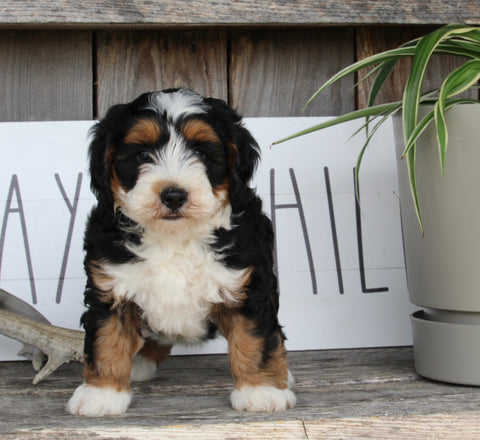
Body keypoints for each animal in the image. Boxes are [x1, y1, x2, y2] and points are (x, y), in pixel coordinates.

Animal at [65, 88, 294, 416]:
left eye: (201, 153)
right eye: (143, 155)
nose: (173, 195)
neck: (173, 238)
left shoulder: (247, 286)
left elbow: (254, 339)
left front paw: (260, 389)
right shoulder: (110, 286)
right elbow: (106, 338)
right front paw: (102, 393)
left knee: (273, 335)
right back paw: (140, 360)